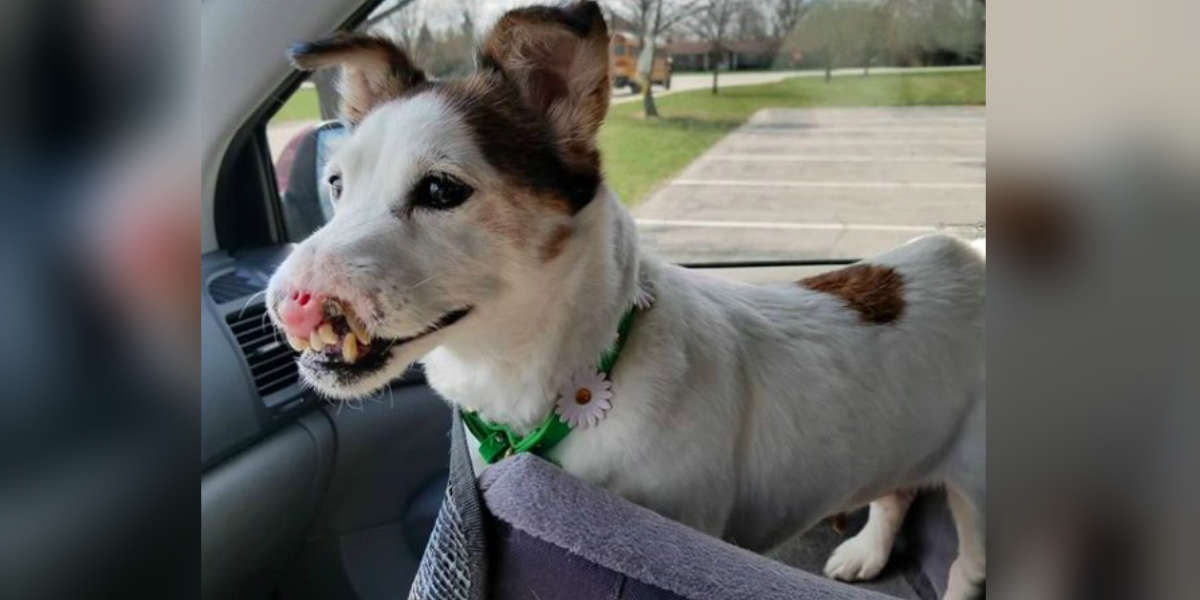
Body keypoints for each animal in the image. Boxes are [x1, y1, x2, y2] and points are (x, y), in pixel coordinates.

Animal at [270, 2, 984, 597]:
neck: (574, 371)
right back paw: (866, 551)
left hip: (980, 488)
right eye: (336, 184)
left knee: (970, 556)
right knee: (896, 493)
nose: (288, 303)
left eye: (442, 190)